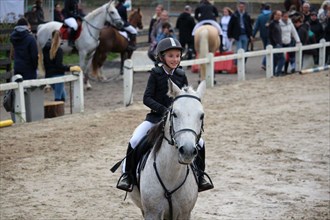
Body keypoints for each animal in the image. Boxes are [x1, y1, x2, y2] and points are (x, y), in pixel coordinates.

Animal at [130, 80, 205, 219]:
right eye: (174, 114)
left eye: (201, 116)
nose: (187, 151)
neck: (171, 175)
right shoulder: (152, 213)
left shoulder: (184, 213)